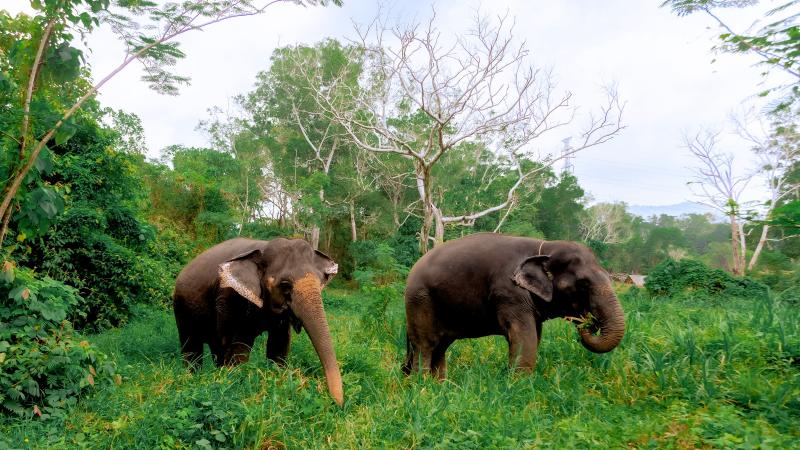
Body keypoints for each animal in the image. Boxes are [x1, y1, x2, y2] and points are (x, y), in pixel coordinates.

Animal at [172, 237, 343, 405]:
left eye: (320, 281)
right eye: (285, 285)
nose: (336, 404)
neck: (263, 246)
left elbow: (279, 344)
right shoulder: (229, 296)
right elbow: (239, 344)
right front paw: (235, 384)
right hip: (181, 308)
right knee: (193, 348)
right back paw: (193, 377)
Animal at [402, 233, 625, 378]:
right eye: (582, 284)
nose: (589, 322)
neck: (545, 247)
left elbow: (534, 335)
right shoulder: (509, 292)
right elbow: (524, 336)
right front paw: (519, 386)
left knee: (440, 346)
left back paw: (440, 386)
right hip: (420, 300)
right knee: (427, 344)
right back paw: (422, 386)